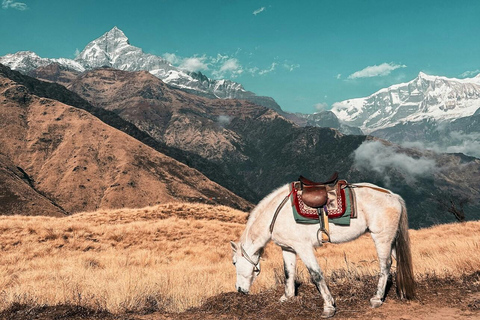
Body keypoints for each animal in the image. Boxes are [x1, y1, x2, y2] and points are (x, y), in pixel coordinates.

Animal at [231, 182, 414, 318]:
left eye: (234, 263)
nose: (239, 290)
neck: (277, 214)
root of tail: (393, 196)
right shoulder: (288, 248)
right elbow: (288, 273)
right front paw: (287, 297)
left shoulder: (303, 248)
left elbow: (316, 275)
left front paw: (328, 307)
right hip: (391, 240)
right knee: (398, 260)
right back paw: (402, 292)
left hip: (382, 238)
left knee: (385, 265)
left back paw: (376, 299)